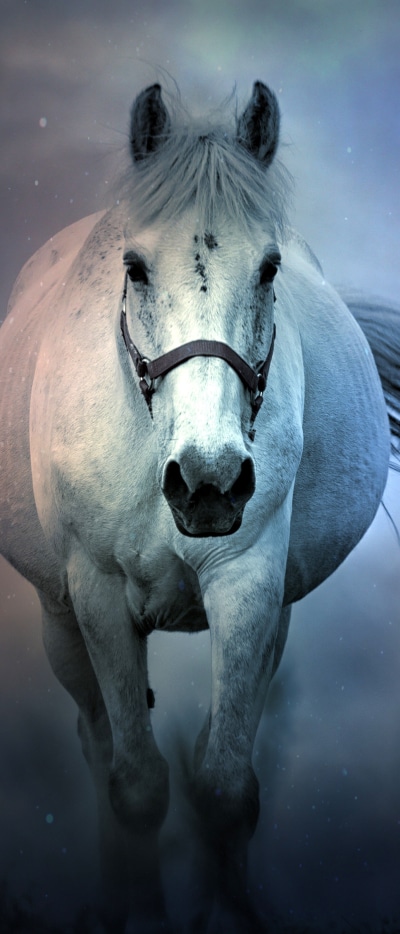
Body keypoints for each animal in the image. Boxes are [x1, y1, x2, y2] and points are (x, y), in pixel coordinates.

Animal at [0, 80, 399, 933]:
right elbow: (137, 786)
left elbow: (224, 790)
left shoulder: (249, 588)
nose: (209, 482)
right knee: (98, 746)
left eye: (271, 267)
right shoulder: (97, 598)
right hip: (58, 619)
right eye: (135, 267)